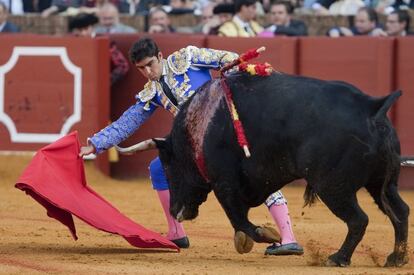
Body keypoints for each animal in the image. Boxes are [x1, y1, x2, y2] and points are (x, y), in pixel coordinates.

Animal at [152, 72, 408, 268]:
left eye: (169, 167)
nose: (174, 210)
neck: (197, 128)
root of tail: (371, 108)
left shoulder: (224, 183)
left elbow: (237, 218)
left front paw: (266, 235)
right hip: (382, 184)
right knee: (401, 211)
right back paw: (396, 258)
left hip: (333, 186)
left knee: (358, 219)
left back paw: (338, 258)